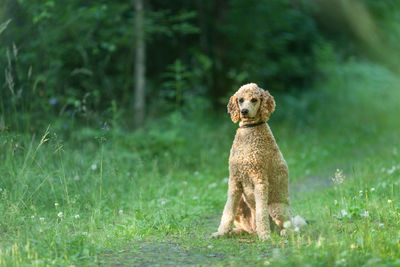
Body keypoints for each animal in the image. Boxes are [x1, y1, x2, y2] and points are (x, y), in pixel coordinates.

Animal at [211, 83, 304, 241]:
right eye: (241, 100)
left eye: (254, 99)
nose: (244, 111)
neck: (249, 131)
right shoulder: (234, 181)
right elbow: (227, 212)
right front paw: (221, 232)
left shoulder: (260, 181)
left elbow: (261, 212)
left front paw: (264, 235)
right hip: (241, 204)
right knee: (245, 228)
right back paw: (236, 232)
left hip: (276, 208)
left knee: (292, 228)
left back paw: (279, 232)